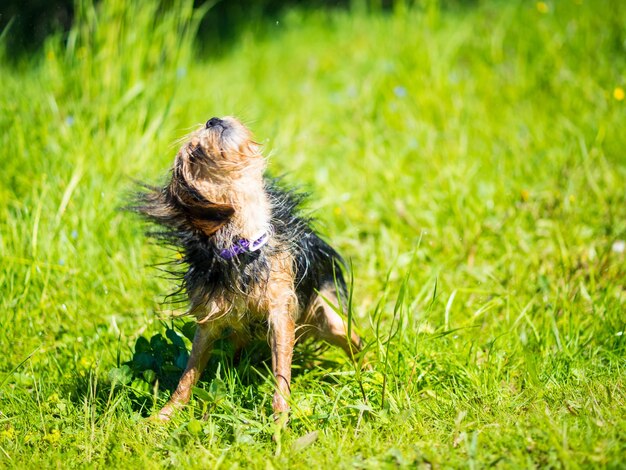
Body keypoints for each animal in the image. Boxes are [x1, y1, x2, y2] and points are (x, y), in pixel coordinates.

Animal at [134, 115, 364, 420]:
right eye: (195, 153)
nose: (213, 119)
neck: (244, 241)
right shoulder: (210, 318)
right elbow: (189, 373)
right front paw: (166, 414)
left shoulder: (281, 308)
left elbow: (281, 374)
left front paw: (279, 420)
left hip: (330, 315)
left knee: (355, 342)